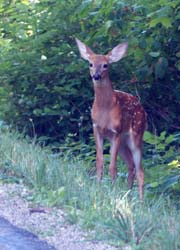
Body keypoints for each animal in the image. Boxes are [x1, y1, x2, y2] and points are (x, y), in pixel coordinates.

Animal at [75, 38, 147, 199]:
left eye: (105, 65)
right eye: (90, 64)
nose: (96, 76)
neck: (105, 110)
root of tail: (142, 108)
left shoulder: (116, 132)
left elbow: (113, 166)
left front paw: (112, 192)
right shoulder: (96, 129)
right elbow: (99, 162)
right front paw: (98, 187)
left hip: (136, 135)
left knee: (140, 171)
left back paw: (140, 201)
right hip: (123, 144)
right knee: (131, 166)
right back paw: (127, 194)